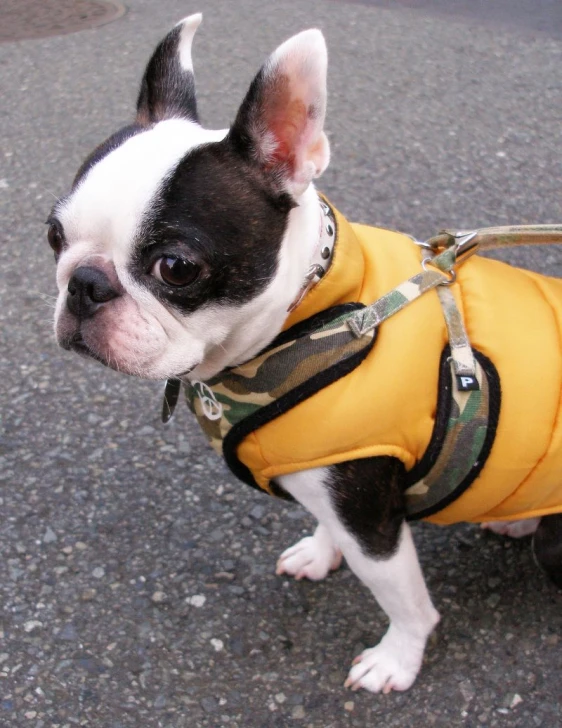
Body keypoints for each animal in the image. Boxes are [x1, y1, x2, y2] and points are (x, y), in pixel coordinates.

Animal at [49, 14, 560, 692]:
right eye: (54, 235)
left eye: (176, 267)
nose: (83, 285)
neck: (309, 314)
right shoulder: (319, 470)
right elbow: (321, 520)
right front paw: (320, 552)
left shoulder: (369, 516)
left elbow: (404, 600)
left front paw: (397, 659)